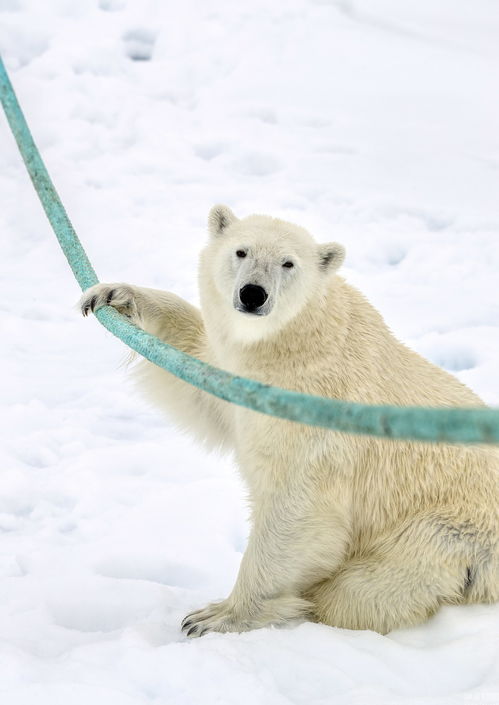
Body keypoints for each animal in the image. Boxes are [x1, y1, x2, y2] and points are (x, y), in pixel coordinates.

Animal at [82, 206, 499, 636]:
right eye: (241, 251)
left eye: (288, 263)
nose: (253, 294)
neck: (296, 345)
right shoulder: (242, 380)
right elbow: (199, 381)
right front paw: (116, 295)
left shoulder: (318, 410)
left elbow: (299, 506)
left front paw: (215, 616)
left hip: (443, 535)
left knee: (357, 593)